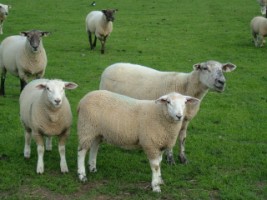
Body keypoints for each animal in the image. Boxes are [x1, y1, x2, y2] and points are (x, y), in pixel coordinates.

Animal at [100, 60, 237, 164]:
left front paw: (182, 157)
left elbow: (182, 138)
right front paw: (170, 158)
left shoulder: (185, 119)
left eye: (222, 69)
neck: (187, 86)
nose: (221, 82)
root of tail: (110, 67)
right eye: (205, 68)